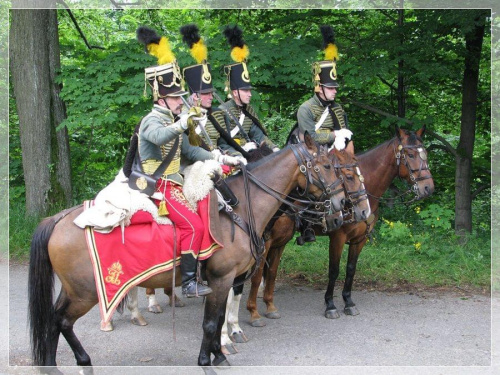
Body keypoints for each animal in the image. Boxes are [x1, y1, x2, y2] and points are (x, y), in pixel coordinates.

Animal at [29, 133, 346, 370]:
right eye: (326, 166)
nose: (342, 203)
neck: (242, 207)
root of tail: (57, 219)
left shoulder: (228, 280)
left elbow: (217, 319)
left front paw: (219, 352)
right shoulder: (221, 278)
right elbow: (210, 323)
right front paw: (208, 358)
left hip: (73, 289)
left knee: (53, 320)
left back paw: (52, 365)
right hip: (86, 293)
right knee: (62, 321)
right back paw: (84, 360)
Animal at [246, 125, 434, 326]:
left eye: (425, 153)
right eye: (411, 154)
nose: (428, 187)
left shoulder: (360, 239)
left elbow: (351, 269)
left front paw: (348, 302)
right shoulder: (337, 237)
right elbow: (334, 270)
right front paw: (330, 305)